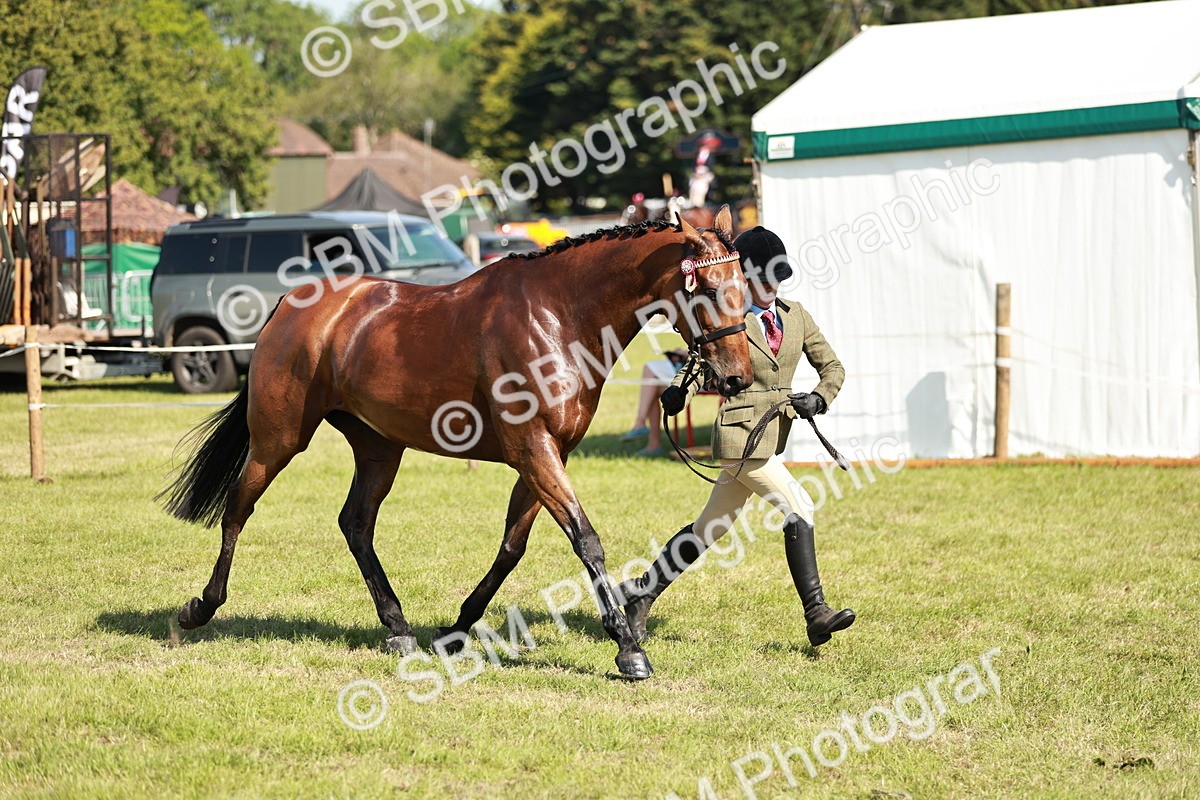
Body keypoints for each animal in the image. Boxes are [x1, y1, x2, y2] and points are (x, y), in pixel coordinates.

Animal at [158, 206, 753, 680]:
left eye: (743, 288)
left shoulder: (546, 455)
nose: (737, 379)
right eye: (705, 290)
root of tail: (291, 303)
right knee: (238, 508)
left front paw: (458, 627)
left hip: (379, 449)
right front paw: (628, 648)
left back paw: (398, 628)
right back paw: (200, 609)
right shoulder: (534, 451)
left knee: (356, 524)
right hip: (277, 440)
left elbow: (512, 547)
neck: (559, 318)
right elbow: (586, 540)